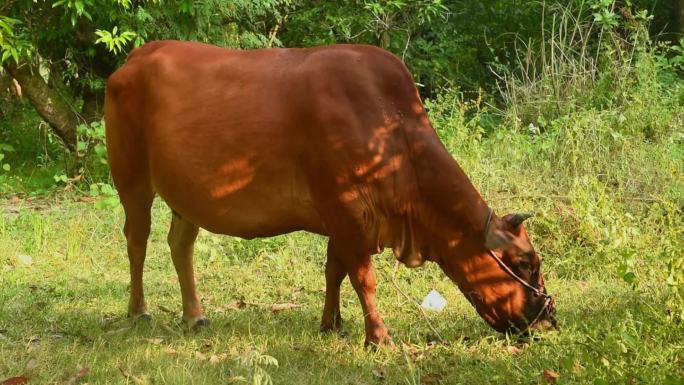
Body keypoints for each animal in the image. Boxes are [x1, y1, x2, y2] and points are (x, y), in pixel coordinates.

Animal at [105, 40, 556, 346]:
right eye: (525, 262)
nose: (548, 319)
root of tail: (137, 57)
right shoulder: (345, 211)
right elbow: (363, 278)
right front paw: (379, 336)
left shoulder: (344, 220)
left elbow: (334, 270)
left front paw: (332, 323)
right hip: (131, 178)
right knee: (136, 240)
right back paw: (139, 311)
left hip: (185, 196)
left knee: (180, 244)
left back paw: (195, 316)